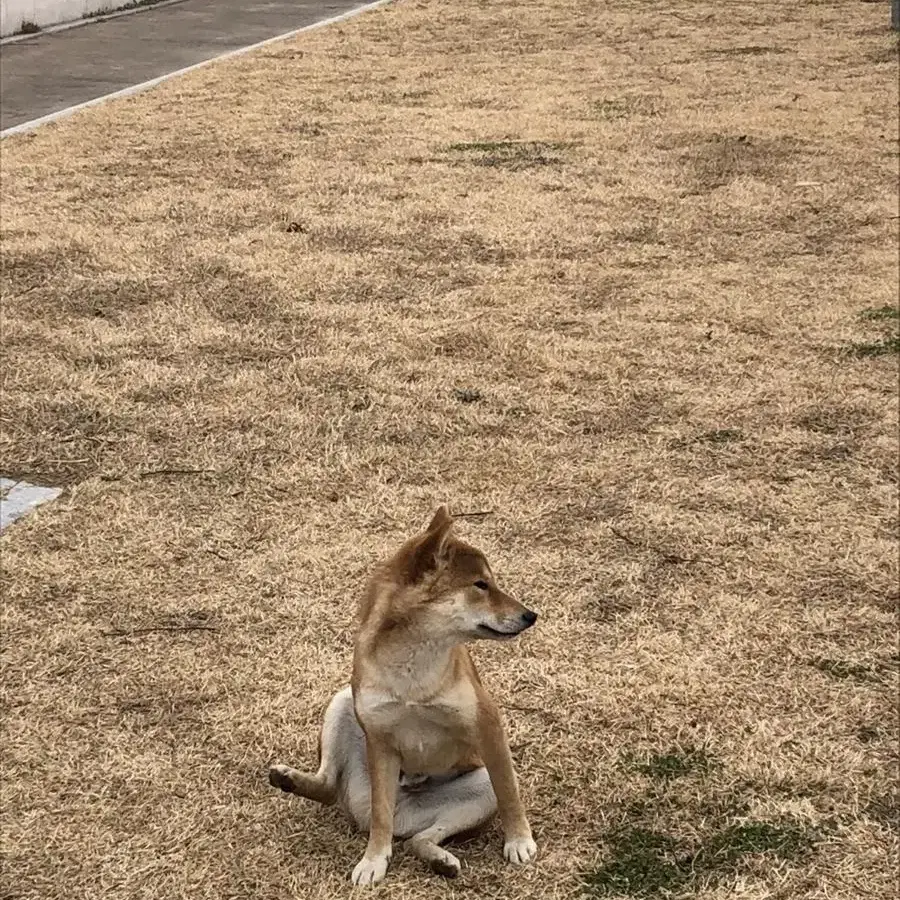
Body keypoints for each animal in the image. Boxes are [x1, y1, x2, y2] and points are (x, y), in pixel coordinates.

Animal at [266, 506, 536, 884]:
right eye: (481, 585)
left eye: (490, 582)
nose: (531, 615)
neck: (413, 661)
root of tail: (402, 816)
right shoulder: (379, 739)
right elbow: (381, 816)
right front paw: (374, 860)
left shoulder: (487, 724)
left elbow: (509, 791)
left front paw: (519, 841)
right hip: (341, 703)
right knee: (331, 789)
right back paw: (287, 779)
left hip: (479, 789)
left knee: (419, 839)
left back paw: (440, 860)